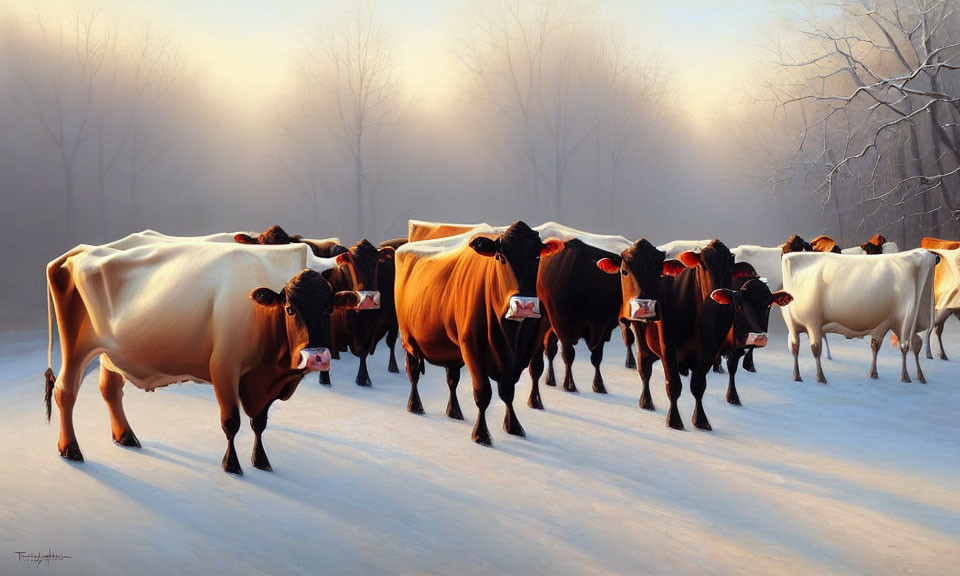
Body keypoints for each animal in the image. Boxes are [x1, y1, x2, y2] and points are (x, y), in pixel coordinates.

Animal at [45, 241, 360, 474]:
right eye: (290, 309)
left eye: (330, 309)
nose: (317, 357)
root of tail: (80, 250)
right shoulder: (224, 366)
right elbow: (231, 421)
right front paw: (231, 465)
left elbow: (259, 422)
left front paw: (261, 461)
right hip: (77, 346)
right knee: (65, 391)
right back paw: (70, 449)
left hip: (109, 354)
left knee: (110, 389)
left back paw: (126, 436)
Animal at [396, 222, 564, 446]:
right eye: (500, 256)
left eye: (537, 257)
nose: (524, 306)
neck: (510, 337)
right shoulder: (472, 347)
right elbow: (483, 392)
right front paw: (481, 434)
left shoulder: (522, 353)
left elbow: (507, 392)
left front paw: (513, 426)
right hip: (409, 340)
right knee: (413, 372)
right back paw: (415, 406)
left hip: (450, 350)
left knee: (452, 378)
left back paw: (454, 411)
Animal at [784, 250, 932, 384]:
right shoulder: (800, 323)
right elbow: (800, 348)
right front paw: (799, 376)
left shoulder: (812, 322)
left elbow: (815, 348)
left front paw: (819, 377)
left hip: (905, 320)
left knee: (907, 346)